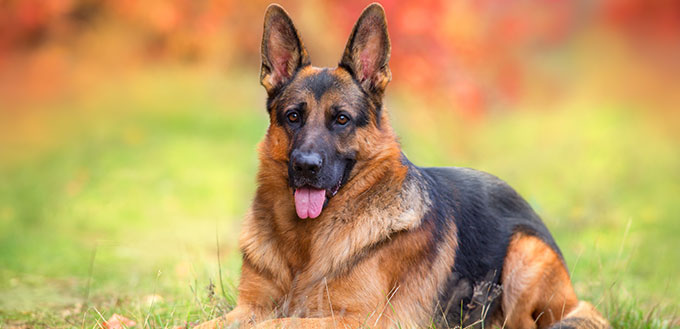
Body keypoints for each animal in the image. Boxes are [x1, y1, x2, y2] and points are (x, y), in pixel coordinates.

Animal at [195, 2, 612, 328]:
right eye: (293, 117)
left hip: (524, 257)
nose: (305, 167)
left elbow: (277, 322)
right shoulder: (247, 307)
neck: (304, 244)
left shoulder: (359, 318)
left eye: (341, 119)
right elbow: (207, 323)